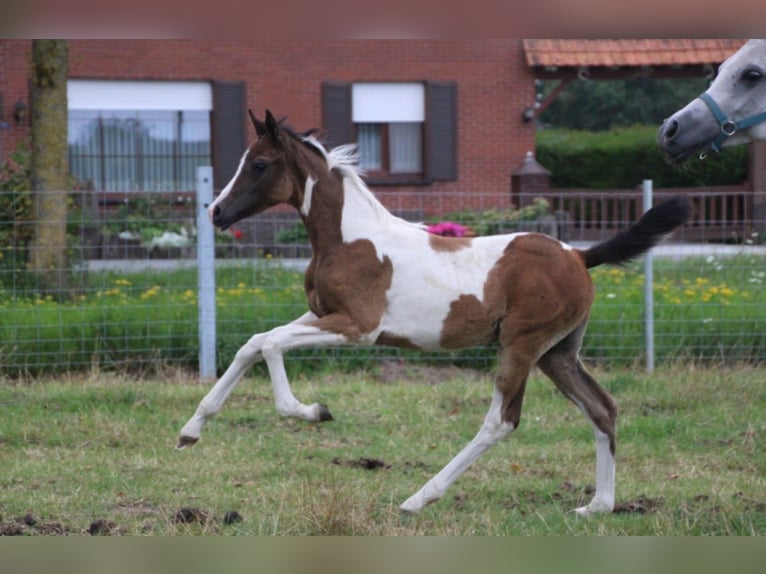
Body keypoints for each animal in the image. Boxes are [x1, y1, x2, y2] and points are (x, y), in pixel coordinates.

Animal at [177, 109, 691, 515]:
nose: (216, 212)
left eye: (260, 164)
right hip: (557, 352)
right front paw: (189, 432)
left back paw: (419, 498)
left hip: (521, 346)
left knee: (502, 420)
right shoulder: (320, 315)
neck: (350, 238)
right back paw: (598, 505)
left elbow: (271, 344)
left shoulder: (359, 327)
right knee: (602, 408)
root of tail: (580, 256)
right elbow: (253, 344)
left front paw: (312, 411)